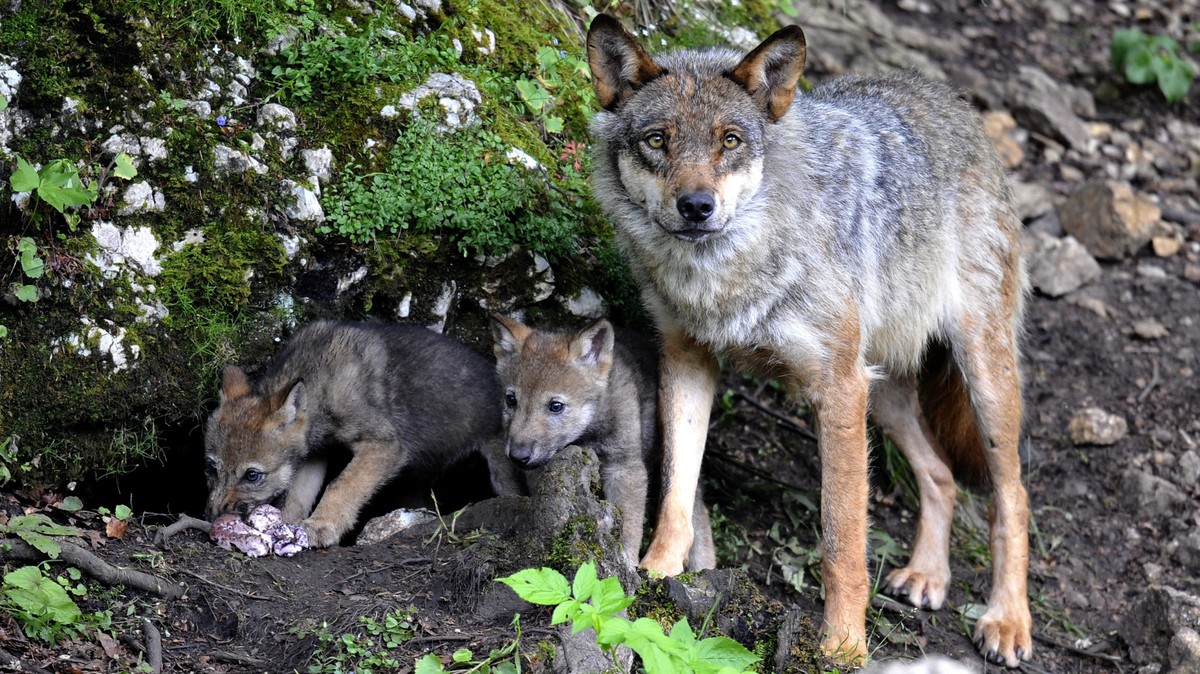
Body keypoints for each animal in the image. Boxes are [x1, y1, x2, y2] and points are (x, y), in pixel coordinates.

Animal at [204, 320, 516, 548]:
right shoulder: (314, 454)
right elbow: (297, 496)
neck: (318, 381)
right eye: (210, 468)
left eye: (252, 475)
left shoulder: (384, 445)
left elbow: (341, 486)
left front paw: (321, 526)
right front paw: (288, 525)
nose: (213, 515)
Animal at [491, 315, 715, 570]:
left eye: (556, 406)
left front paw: (627, 563)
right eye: (511, 400)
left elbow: (629, 524)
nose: (518, 455)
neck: (587, 435)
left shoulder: (624, 467)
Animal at [586, 14, 1031, 667]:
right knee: (941, 475)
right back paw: (928, 575)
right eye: (657, 140)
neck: (725, 276)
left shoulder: (837, 389)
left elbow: (842, 543)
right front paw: (656, 575)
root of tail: (950, 99)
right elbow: (676, 492)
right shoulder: (687, 359)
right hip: (885, 397)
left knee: (1012, 496)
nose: (697, 207)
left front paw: (843, 647)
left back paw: (1007, 621)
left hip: (980, 382)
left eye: (729, 141)